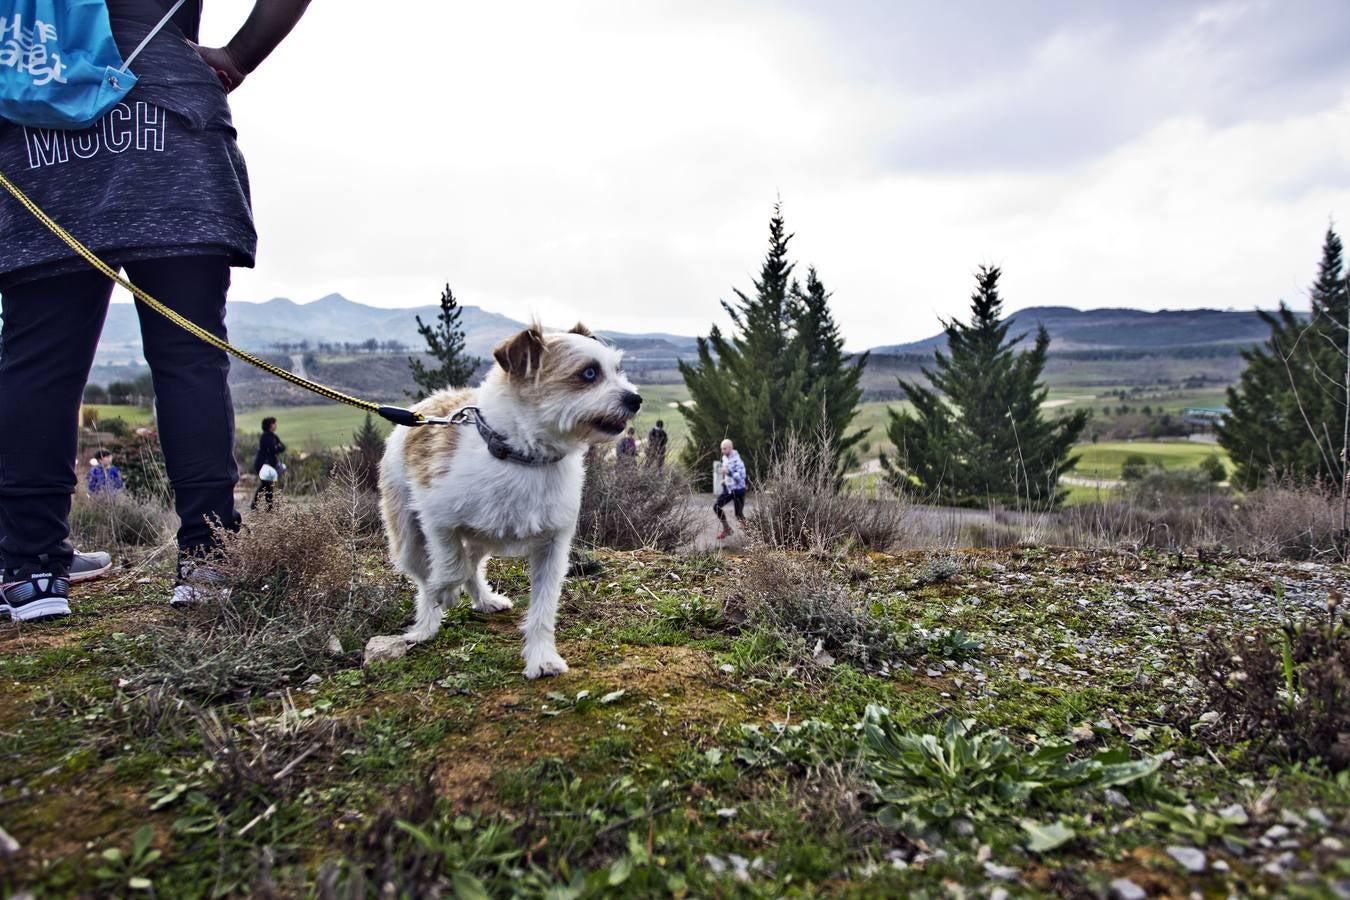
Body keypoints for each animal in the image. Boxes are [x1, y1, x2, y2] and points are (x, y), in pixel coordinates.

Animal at [375, 319, 637, 680]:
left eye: (617, 369)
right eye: (588, 373)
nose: (636, 399)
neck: (524, 458)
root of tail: (427, 404)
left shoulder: (553, 548)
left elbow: (542, 608)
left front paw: (541, 657)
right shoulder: (437, 521)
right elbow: (450, 567)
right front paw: (444, 591)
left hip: (483, 536)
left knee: (472, 564)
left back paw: (484, 600)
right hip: (409, 539)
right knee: (431, 575)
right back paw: (426, 625)